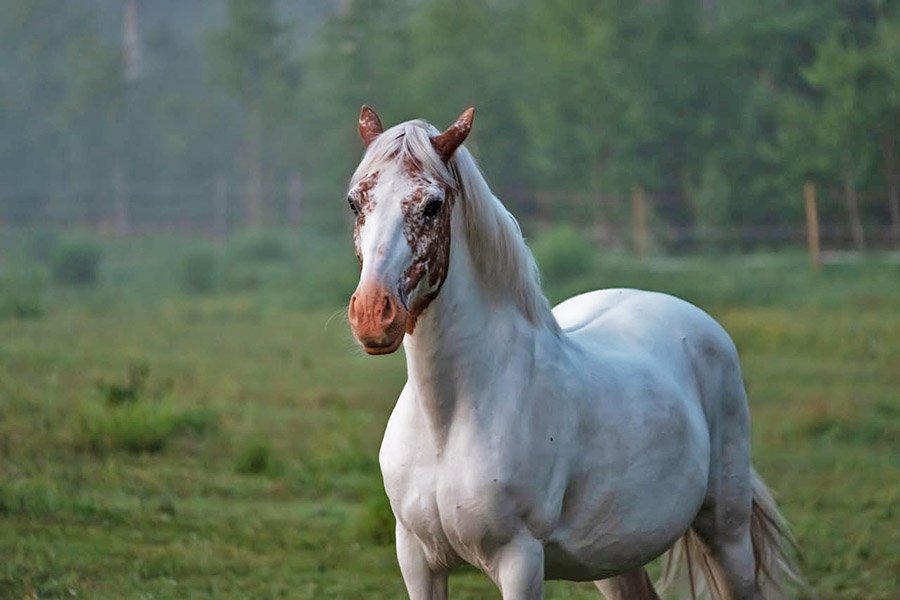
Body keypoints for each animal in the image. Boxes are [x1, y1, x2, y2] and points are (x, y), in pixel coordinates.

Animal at [344, 108, 800, 600]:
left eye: (432, 205)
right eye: (355, 202)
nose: (372, 314)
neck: (448, 421)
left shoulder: (520, 559)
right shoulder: (417, 559)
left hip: (726, 532)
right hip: (614, 556)